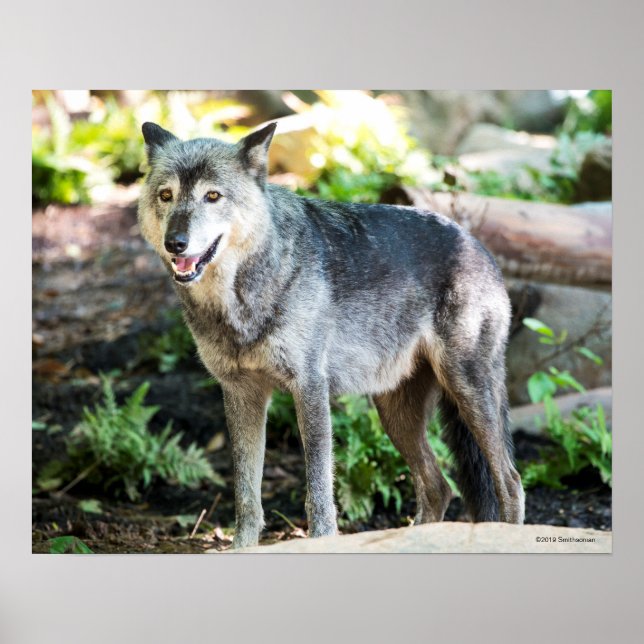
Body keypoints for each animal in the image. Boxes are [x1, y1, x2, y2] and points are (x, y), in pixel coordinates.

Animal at [138, 120, 525, 548]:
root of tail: (478, 247)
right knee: (439, 486)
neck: (242, 299)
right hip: (396, 415)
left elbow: (319, 491)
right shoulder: (241, 394)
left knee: (510, 481)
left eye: (212, 196)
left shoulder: (310, 387)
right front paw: (242, 548)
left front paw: (322, 540)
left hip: (467, 391)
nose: (176, 243)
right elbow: (247, 497)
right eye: (166, 195)